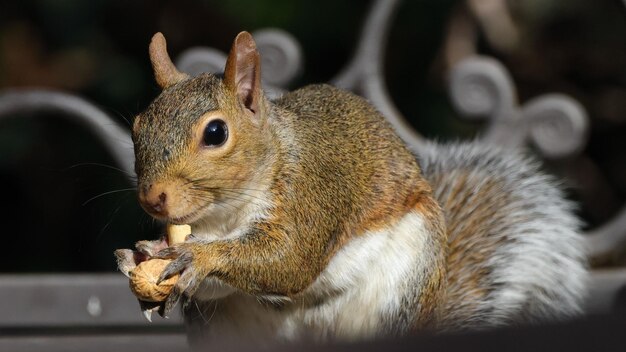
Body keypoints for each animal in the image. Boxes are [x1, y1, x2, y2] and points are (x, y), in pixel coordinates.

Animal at [116, 32, 584, 346]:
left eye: (215, 132)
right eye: (138, 125)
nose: (152, 198)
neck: (224, 214)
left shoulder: (315, 192)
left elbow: (289, 260)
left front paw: (195, 256)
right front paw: (142, 256)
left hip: (404, 286)